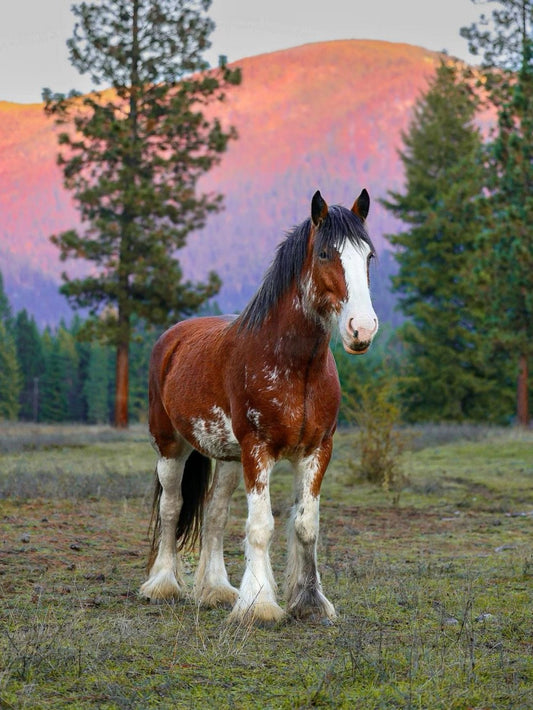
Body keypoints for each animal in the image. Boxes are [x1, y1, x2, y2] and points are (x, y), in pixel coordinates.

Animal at [140, 189, 378, 624]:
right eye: (325, 254)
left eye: (368, 256)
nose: (362, 328)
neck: (294, 365)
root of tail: (173, 338)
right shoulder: (258, 450)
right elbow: (260, 526)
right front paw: (259, 604)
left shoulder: (317, 451)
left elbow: (306, 525)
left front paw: (310, 601)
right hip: (171, 447)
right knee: (171, 507)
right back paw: (163, 584)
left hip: (229, 459)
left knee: (215, 514)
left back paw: (216, 590)